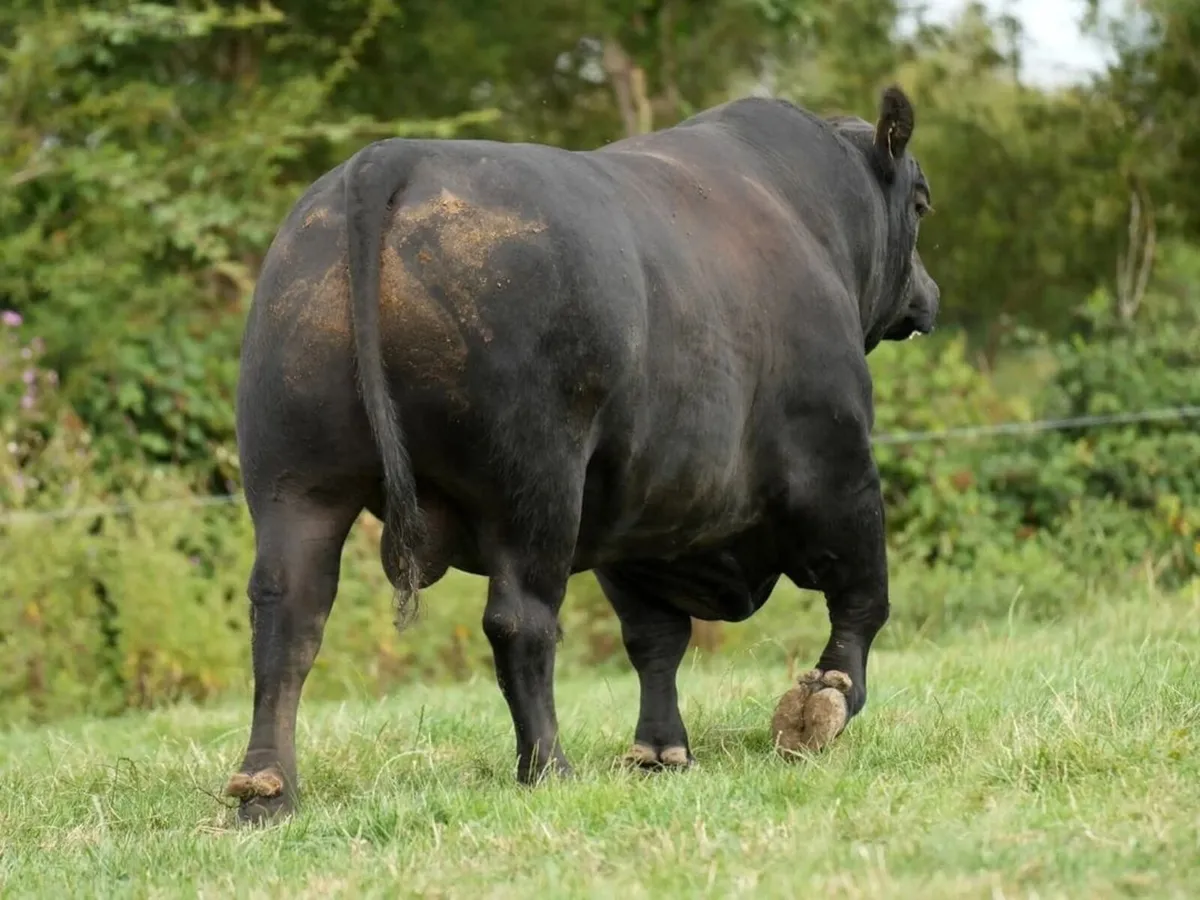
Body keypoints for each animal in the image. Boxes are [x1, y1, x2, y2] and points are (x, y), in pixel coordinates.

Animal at [224, 85, 939, 823]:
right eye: (922, 202)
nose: (928, 294)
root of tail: (389, 158)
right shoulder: (838, 464)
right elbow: (863, 598)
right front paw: (821, 703)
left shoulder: (641, 515)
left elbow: (655, 639)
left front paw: (660, 750)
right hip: (534, 481)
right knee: (519, 620)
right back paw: (548, 767)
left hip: (293, 480)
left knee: (287, 614)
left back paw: (266, 790)